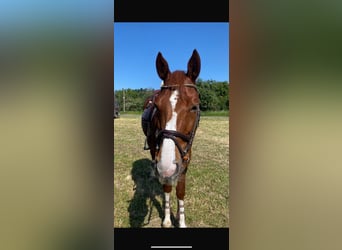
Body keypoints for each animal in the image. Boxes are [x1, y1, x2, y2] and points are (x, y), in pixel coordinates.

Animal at [141, 49, 200, 228]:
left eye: (194, 106)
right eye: (157, 107)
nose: (166, 166)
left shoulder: (185, 160)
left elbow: (180, 192)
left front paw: (181, 221)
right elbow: (167, 187)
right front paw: (167, 219)